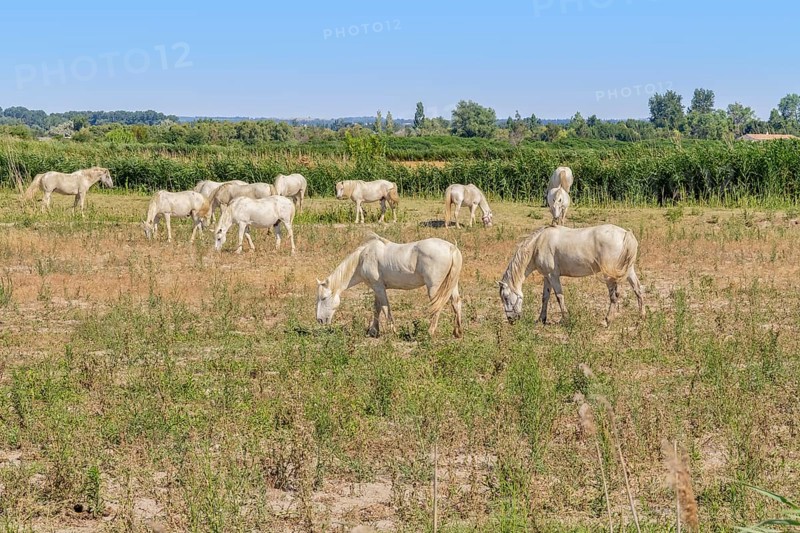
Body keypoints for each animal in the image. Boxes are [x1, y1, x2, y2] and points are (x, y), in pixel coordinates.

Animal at [315, 234, 463, 338]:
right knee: (456, 303)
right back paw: (457, 332)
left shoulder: (379, 288)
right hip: (452, 285)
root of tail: (452, 248)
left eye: (323, 298)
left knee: (437, 307)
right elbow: (377, 308)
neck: (362, 258)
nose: (320, 320)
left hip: (434, 288)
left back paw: (430, 332)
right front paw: (373, 331)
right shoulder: (376, 288)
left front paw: (393, 331)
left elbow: (385, 308)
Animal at [498, 224, 644, 326]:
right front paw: (541, 319)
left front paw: (565, 319)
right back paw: (641, 317)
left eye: (505, 297)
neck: (538, 245)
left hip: (609, 275)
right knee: (638, 290)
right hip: (629, 270)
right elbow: (545, 297)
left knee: (614, 297)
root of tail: (625, 234)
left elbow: (559, 297)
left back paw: (607, 320)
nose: (511, 319)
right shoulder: (547, 277)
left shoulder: (553, 276)